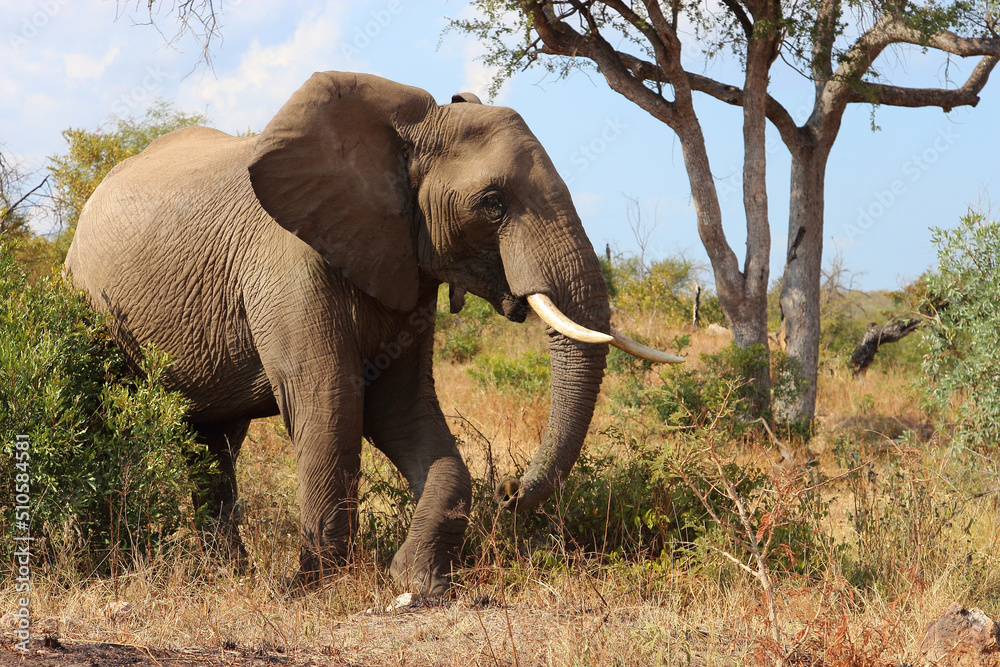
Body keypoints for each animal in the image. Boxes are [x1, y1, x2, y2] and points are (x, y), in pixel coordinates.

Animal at [64, 71, 680, 595]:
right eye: (492, 203)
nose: (510, 492)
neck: (402, 133)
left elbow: (400, 406)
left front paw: (417, 583)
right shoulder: (288, 263)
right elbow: (330, 401)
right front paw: (312, 590)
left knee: (214, 442)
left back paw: (228, 576)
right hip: (90, 301)